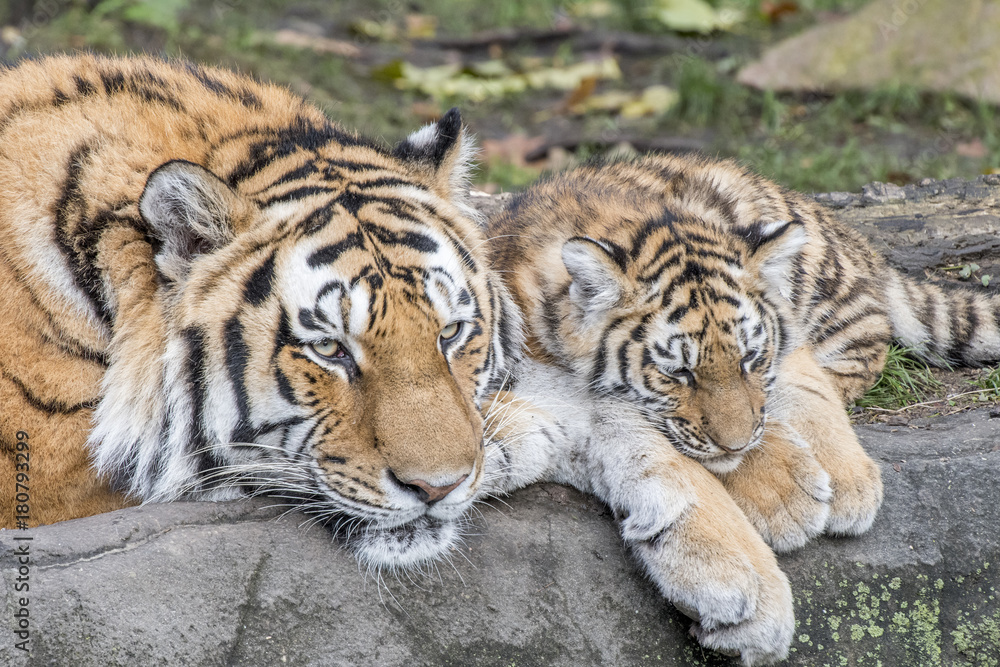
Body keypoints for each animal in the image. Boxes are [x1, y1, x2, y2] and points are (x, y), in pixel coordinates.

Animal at [484, 153, 1000, 665]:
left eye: (750, 358)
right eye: (679, 373)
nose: (734, 444)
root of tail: (858, 244)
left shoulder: (784, 338)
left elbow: (804, 387)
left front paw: (845, 484)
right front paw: (787, 496)